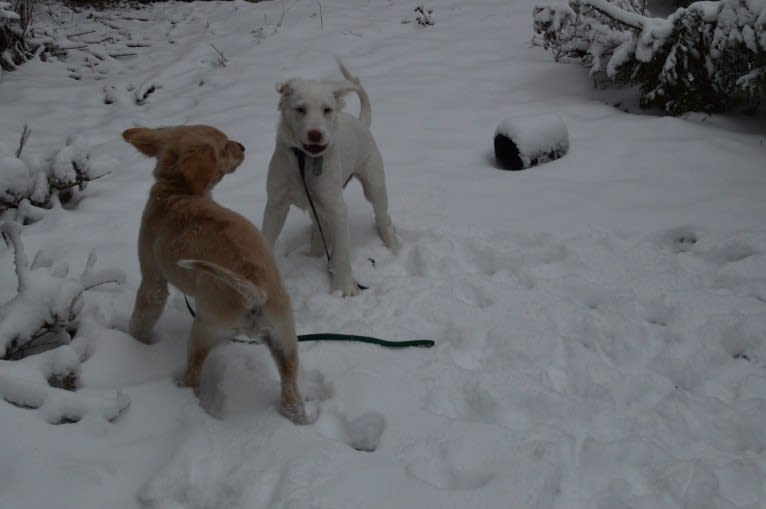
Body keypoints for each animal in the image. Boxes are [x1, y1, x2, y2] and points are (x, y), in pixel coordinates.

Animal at [124, 125, 310, 422]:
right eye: (225, 147)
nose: (243, 146)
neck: (175, 191)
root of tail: (255, 287)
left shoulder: (153, 280)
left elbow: (142, 318)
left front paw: (137, 342)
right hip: (285, 342)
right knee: (291, 394)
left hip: (204, 330)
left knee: (193, 376)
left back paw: (182, 392)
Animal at [260, 58, 400, 298]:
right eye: (300, 109)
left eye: (327, 110)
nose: (315, 134)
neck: (304, 161)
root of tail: (361, 122)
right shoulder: (276, 205)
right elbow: (267, 239)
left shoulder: (337, 209)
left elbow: (342, 252)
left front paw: (343, 288)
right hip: (317, 205)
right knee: (320, 228)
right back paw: (314, 254)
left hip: (373, 184)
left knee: (383, 217)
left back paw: (391, 245)